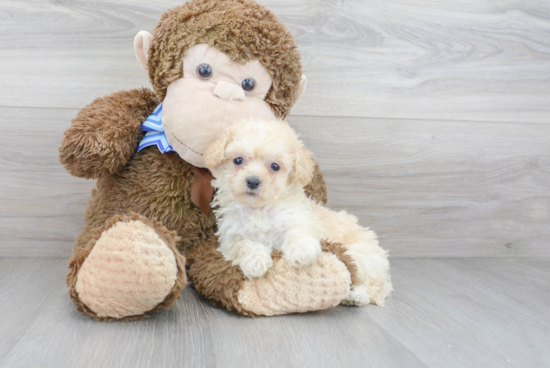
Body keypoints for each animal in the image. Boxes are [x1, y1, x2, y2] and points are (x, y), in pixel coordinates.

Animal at [205, 119, 394, 306]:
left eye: (275, 166)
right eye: (238, 160)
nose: (252, 181)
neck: (260, 209)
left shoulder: (298, 217)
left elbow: (298, 233)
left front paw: (302, 253)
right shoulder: (232, 235)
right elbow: (245, 245)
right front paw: (256, 262)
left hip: (361, 257)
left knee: (374, 285)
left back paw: (357, 296)